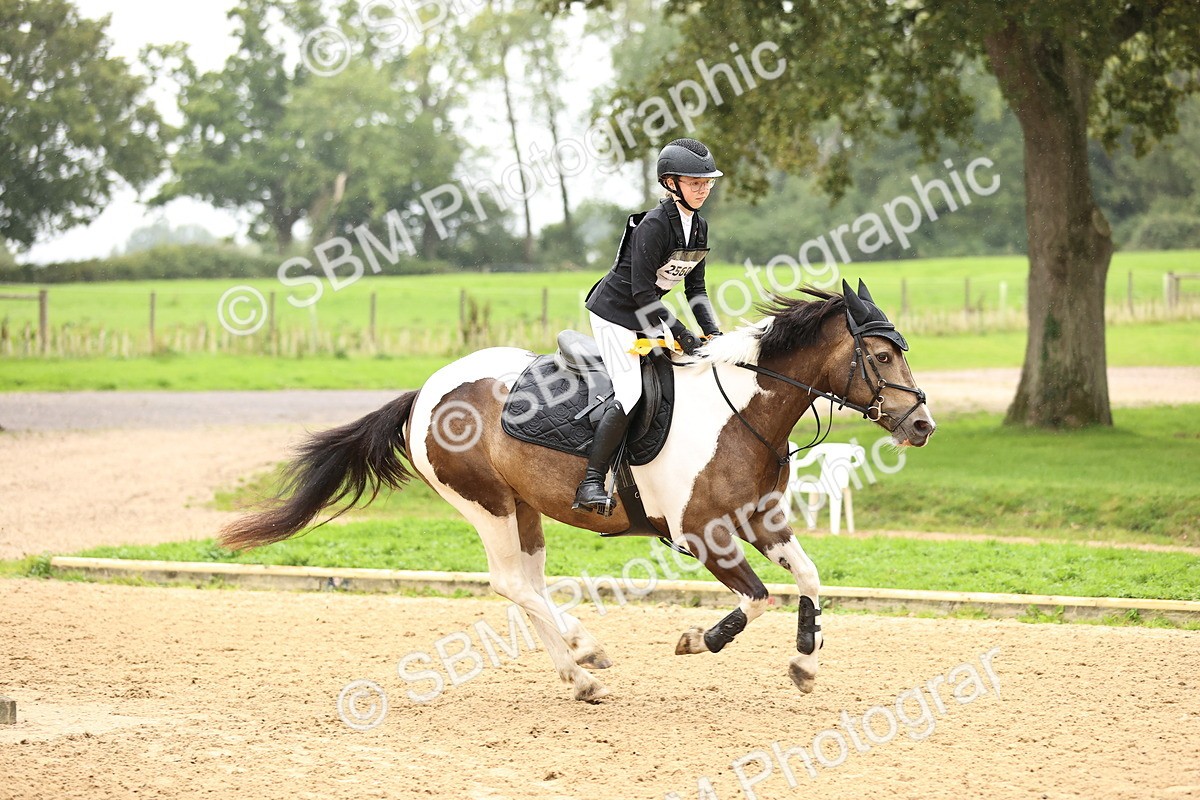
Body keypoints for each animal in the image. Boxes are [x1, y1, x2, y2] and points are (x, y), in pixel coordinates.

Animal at [219, 280, 935, 702]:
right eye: (881, 356)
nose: (922, 425)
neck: (741, 412)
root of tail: (425, 391)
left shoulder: (761, 519)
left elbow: (809, 578)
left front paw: (806, 663)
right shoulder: (702, 535)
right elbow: (757, 599)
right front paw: (698, 639)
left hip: (524, 507)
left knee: (529, 584)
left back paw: (580, 664)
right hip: (488, 504)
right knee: (512, 583)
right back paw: (582, 658)